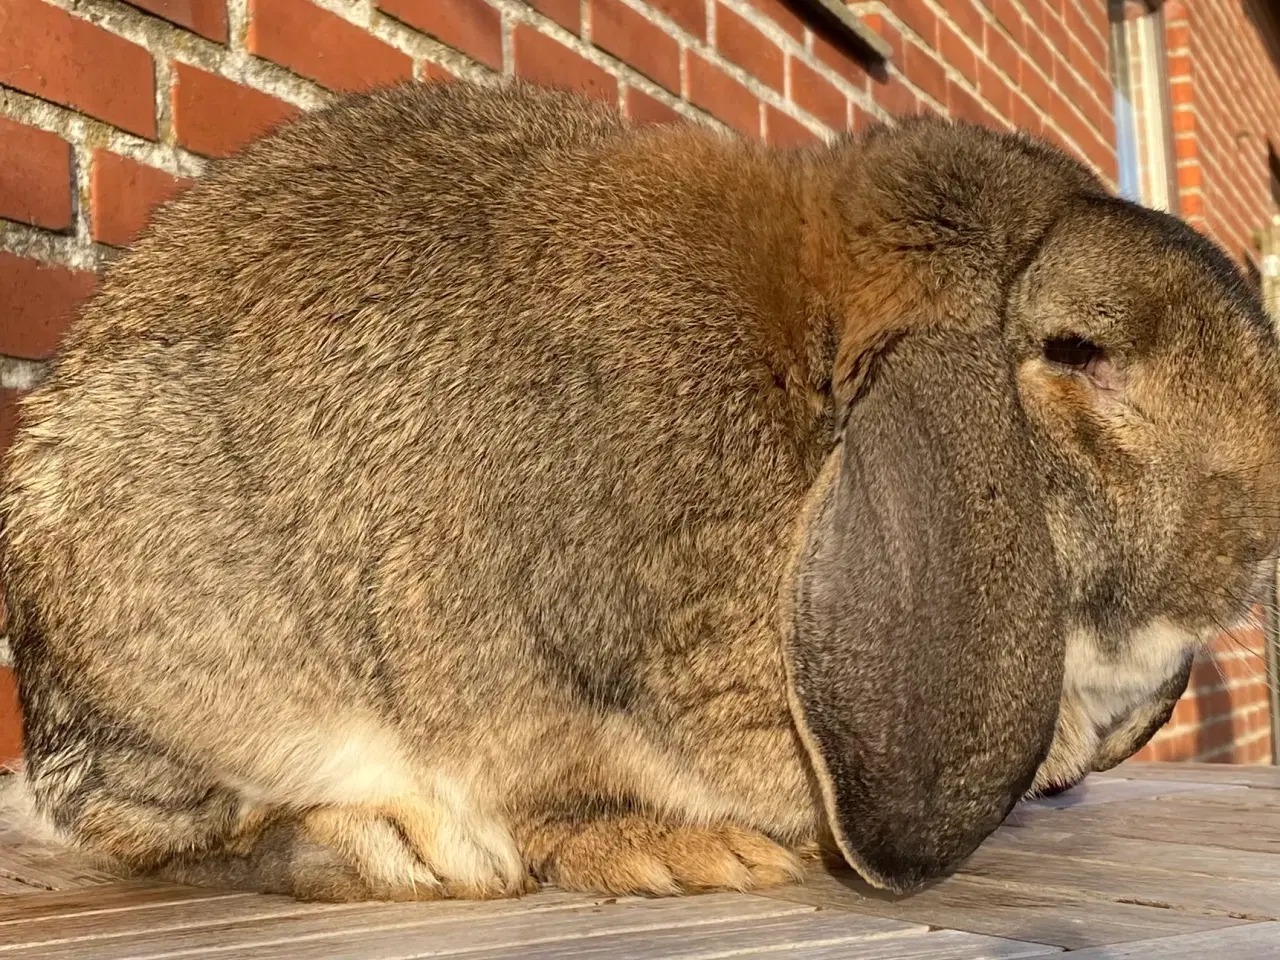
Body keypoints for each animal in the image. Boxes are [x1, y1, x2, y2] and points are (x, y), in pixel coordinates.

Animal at [7, 77, 1280, 911]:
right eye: (1076, 350)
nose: (1263, 539)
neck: (807, 394)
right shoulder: (533, 664)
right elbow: (552, 782)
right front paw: (689, 856)